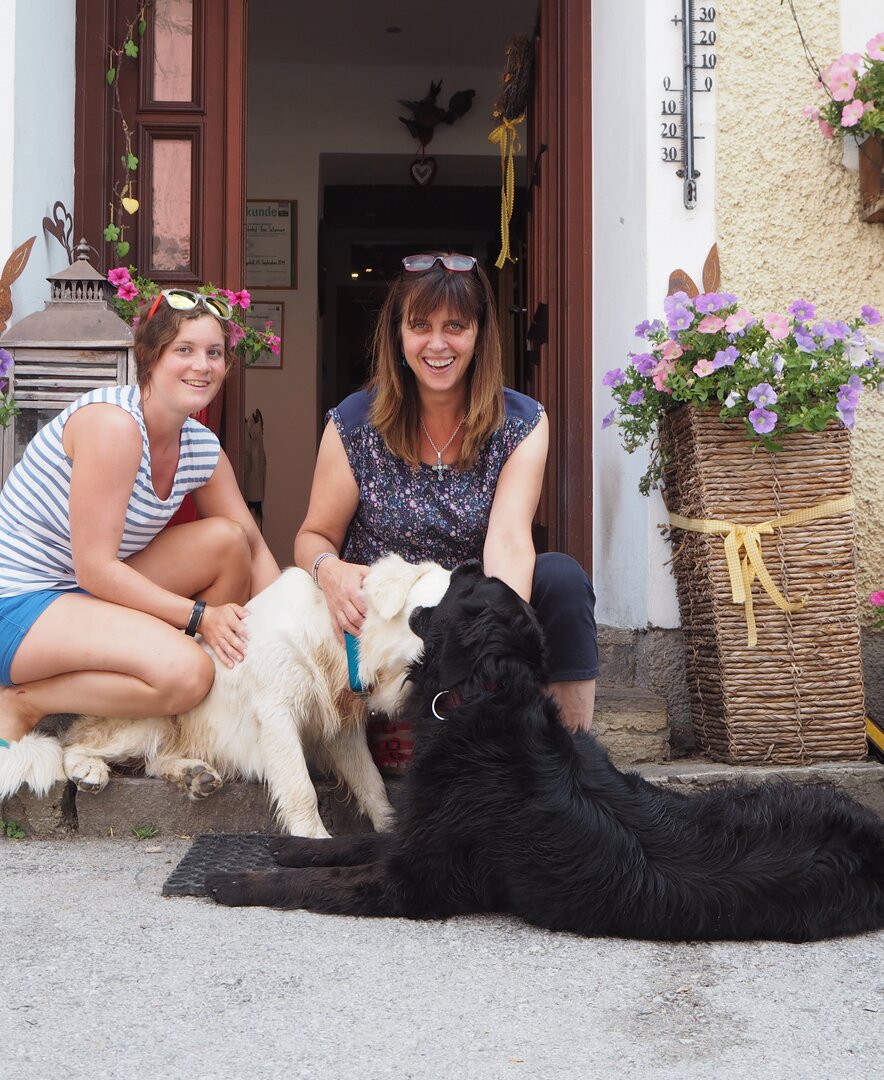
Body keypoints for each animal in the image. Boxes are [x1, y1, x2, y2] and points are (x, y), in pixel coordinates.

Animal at [1, 552, 449, 838]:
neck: (342, 641)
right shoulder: (278, 713)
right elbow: (300, 787)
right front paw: (314, 839)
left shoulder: (341, 731)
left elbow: (371, 781)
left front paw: (391, 826)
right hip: (151, 711)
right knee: (71, 745)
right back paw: (90, 770)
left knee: (156, 761)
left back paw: (196, 776)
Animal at [209, 561, 884, 941]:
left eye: (468, 585)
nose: (466, 559)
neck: (486, 705)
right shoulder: (417, 834)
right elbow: (347, 845)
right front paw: (289, 846)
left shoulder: (413, 880)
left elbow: (313, 885)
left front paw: (235, 880)